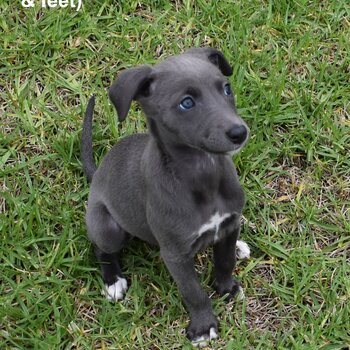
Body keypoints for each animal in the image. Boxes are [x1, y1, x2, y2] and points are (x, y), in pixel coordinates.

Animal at [81, 47, 250, 346]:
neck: (203, 173)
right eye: (186, 103)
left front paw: (227, 287)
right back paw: (113, 281)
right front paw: (204, 327)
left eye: (226, 88)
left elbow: (225, 260)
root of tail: (97, 173)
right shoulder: (175, 254)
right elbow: (193, 291)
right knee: (101, 248)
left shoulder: (230, 224)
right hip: (108, 227)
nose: (239, 133)